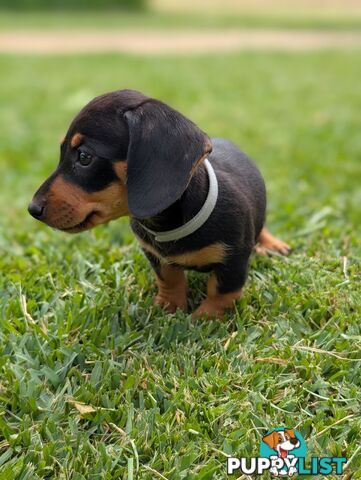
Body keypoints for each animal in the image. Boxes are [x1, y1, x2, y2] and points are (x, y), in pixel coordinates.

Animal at [28, 89, 288, 318]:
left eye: (84, 156)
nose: (33, 209)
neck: (171, 224)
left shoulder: (234, 257)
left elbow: (222, 291)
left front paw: (205, 318)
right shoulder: (154, 253)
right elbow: (169, 278)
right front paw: (167, 306)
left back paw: (273, 245)